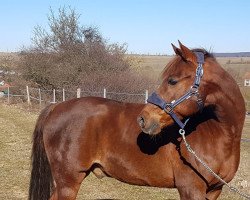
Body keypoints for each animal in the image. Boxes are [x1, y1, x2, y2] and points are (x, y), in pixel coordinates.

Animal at [28, 42, 245, 200]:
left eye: (172, 80)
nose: (143, 118)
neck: (218, 135)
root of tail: (56, 106)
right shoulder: (191, 190)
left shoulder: (214, 191)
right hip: (68, 182)